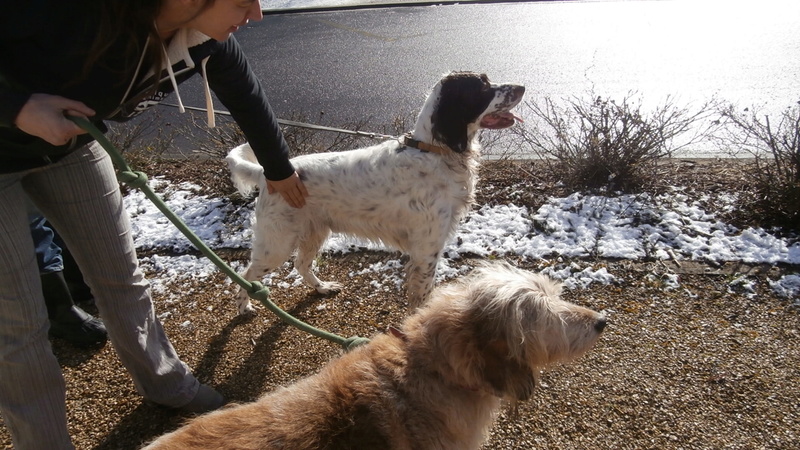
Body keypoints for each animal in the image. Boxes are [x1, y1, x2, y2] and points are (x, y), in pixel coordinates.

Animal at [227, 72, 524, 314]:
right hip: (277, 243)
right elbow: (423, 294)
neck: (435, 151)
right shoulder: (427, 249)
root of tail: (267, 176)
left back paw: (322, 287)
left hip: (314, 232)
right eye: (482, 86)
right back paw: (245, 307)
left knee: (301, 264)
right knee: (245, 273)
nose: (522, 87)